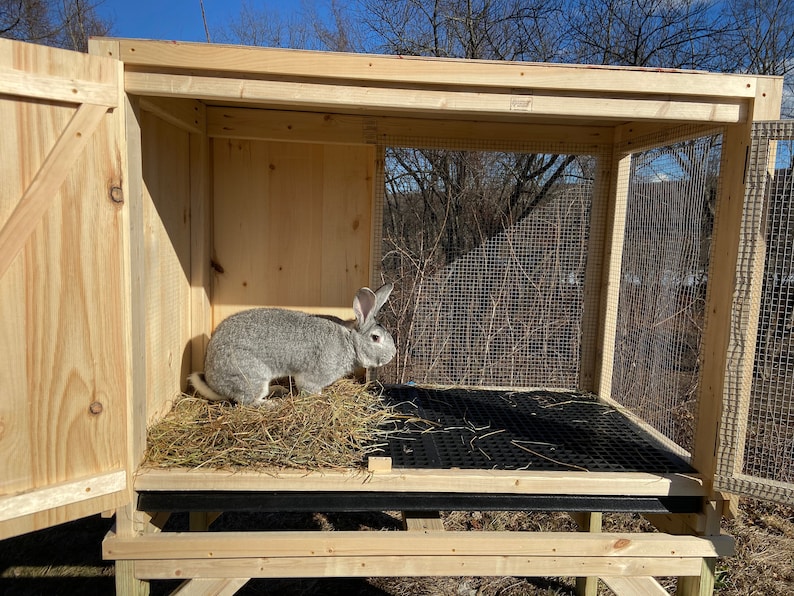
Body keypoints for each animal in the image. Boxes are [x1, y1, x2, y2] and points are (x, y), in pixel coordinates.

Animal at [188, 283, 396, 406]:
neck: (350, 342)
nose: (393, 354)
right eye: (376, 338)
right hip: (251, 376)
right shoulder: (313, 376)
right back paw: (271, 404)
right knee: (247, 401)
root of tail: (213, 382)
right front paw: (321, 397)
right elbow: (309, 389)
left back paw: (279, 391)